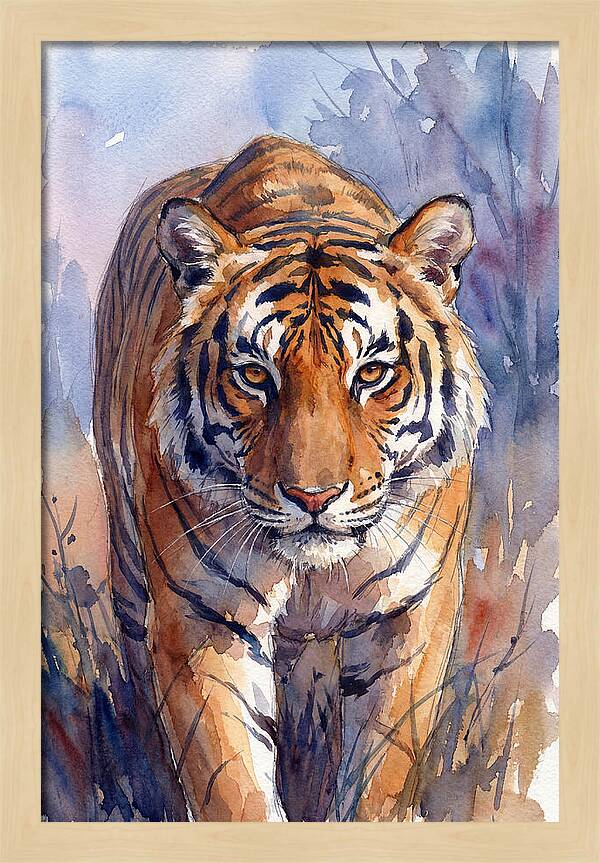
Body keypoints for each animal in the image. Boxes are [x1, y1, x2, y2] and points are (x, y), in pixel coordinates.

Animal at [93, 134, 487, 822]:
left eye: (372, 374)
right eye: (255, 375)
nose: (313, 497)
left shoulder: (413, 614)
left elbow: (380, 772)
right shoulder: (203, 617)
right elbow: (232, 786)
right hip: (127, 561)